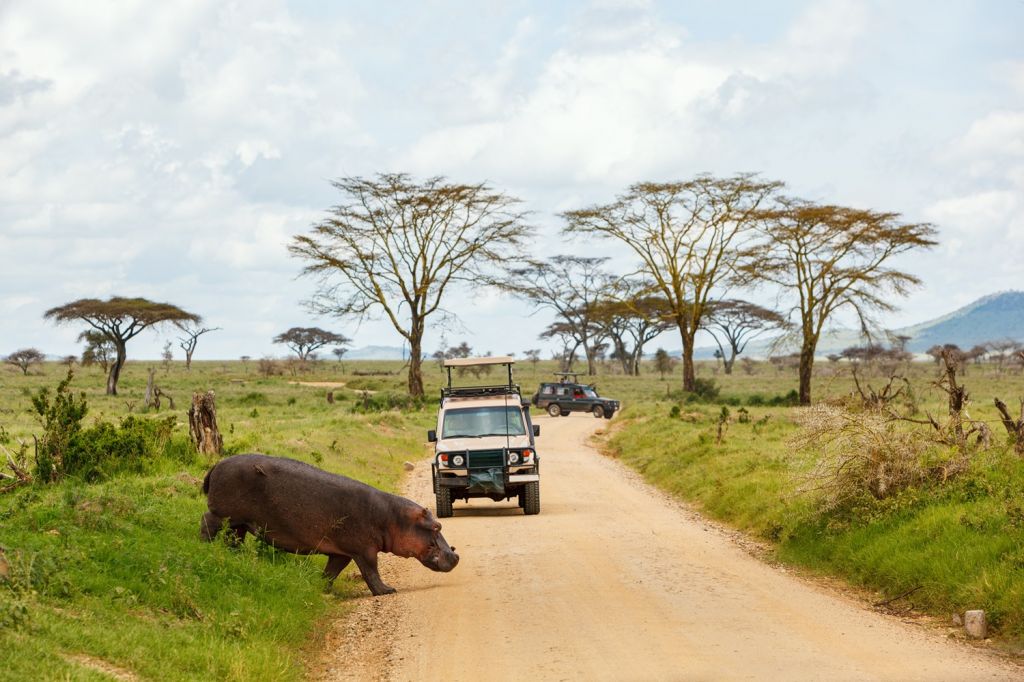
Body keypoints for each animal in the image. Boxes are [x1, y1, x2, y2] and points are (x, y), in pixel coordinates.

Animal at [199, 454, 456, 593]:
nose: (455, 555)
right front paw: (387, 590)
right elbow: (371, 571)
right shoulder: (364, 550)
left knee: (233, 538)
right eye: (436, 527)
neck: (393, 517)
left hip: (239, 523)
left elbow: (332, 571)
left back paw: (235, 556)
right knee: (207, 522)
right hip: (223, 514)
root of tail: (216, 464)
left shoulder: (342, 552)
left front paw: (322, 590)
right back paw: (204, 546)